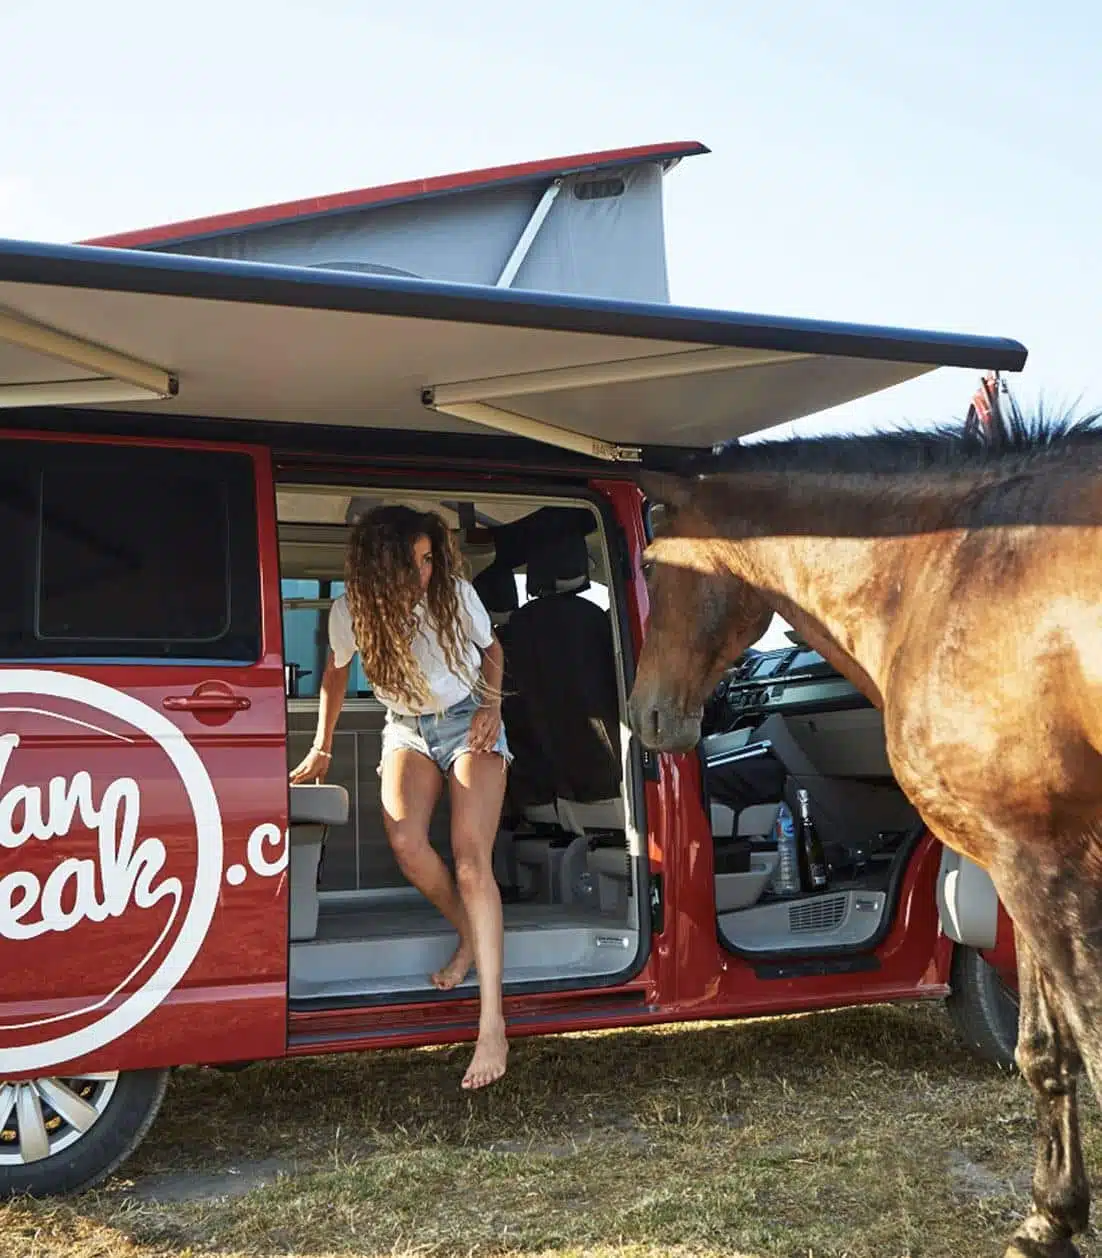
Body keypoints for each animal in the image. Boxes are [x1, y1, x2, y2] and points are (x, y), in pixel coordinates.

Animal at [628, 392, 1102, 1258]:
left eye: (649, 566)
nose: (643, 715)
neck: (949, 569)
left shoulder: (1040, 864)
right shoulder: (1030, 858)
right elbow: (1045, 1051)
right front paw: (1049, 1219)